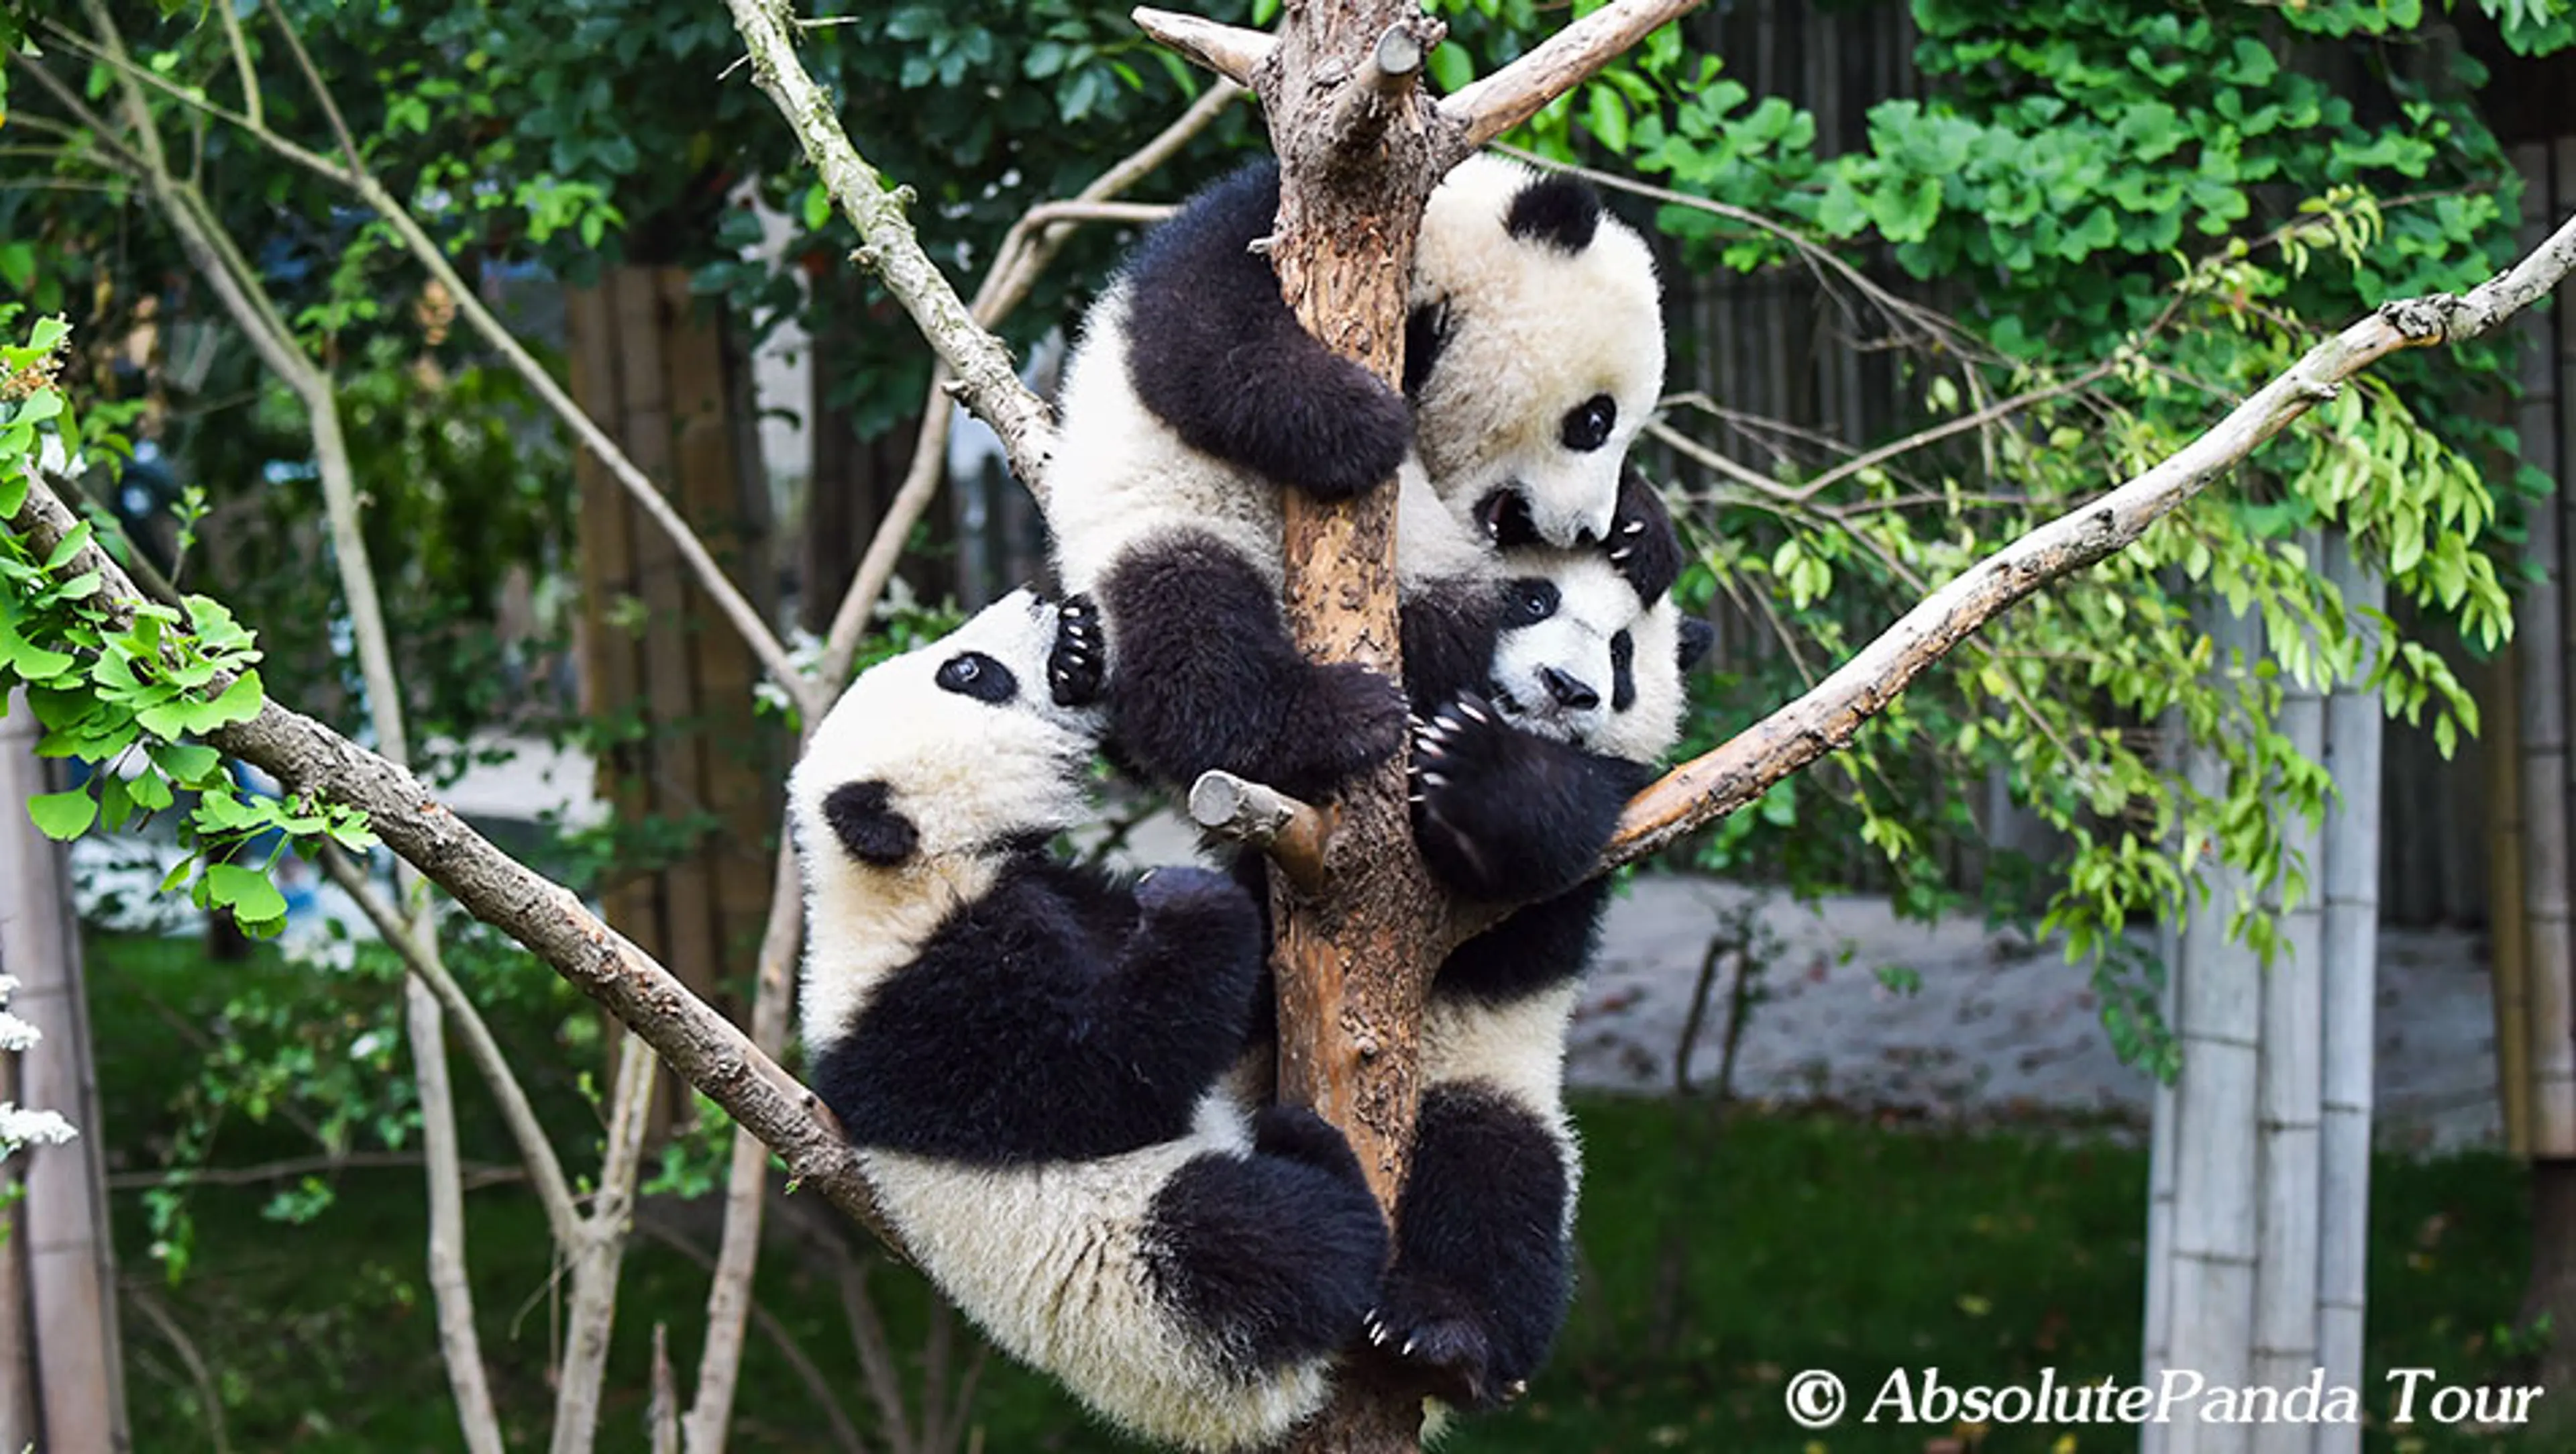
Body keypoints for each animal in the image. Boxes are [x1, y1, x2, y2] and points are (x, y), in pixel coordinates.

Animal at [788, 589, 1390, 1453]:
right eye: (967, 672)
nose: (1039, 599)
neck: (905, 878)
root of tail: (1257, 1410)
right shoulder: (928, 1004)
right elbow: (1099, 1078)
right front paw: (1190, 901)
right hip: (1148, 1280)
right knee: (1268, 1242)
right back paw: (1318, 1169)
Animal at [1044, 152, 1666, 803]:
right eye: (1595, 420)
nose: (1586, 530)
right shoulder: (1262, 221)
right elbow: (1198, 336)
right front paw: (1362, 425)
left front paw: (1639, 534)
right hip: (1166, 521)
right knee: (1192, 633)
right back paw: (1340, 717)